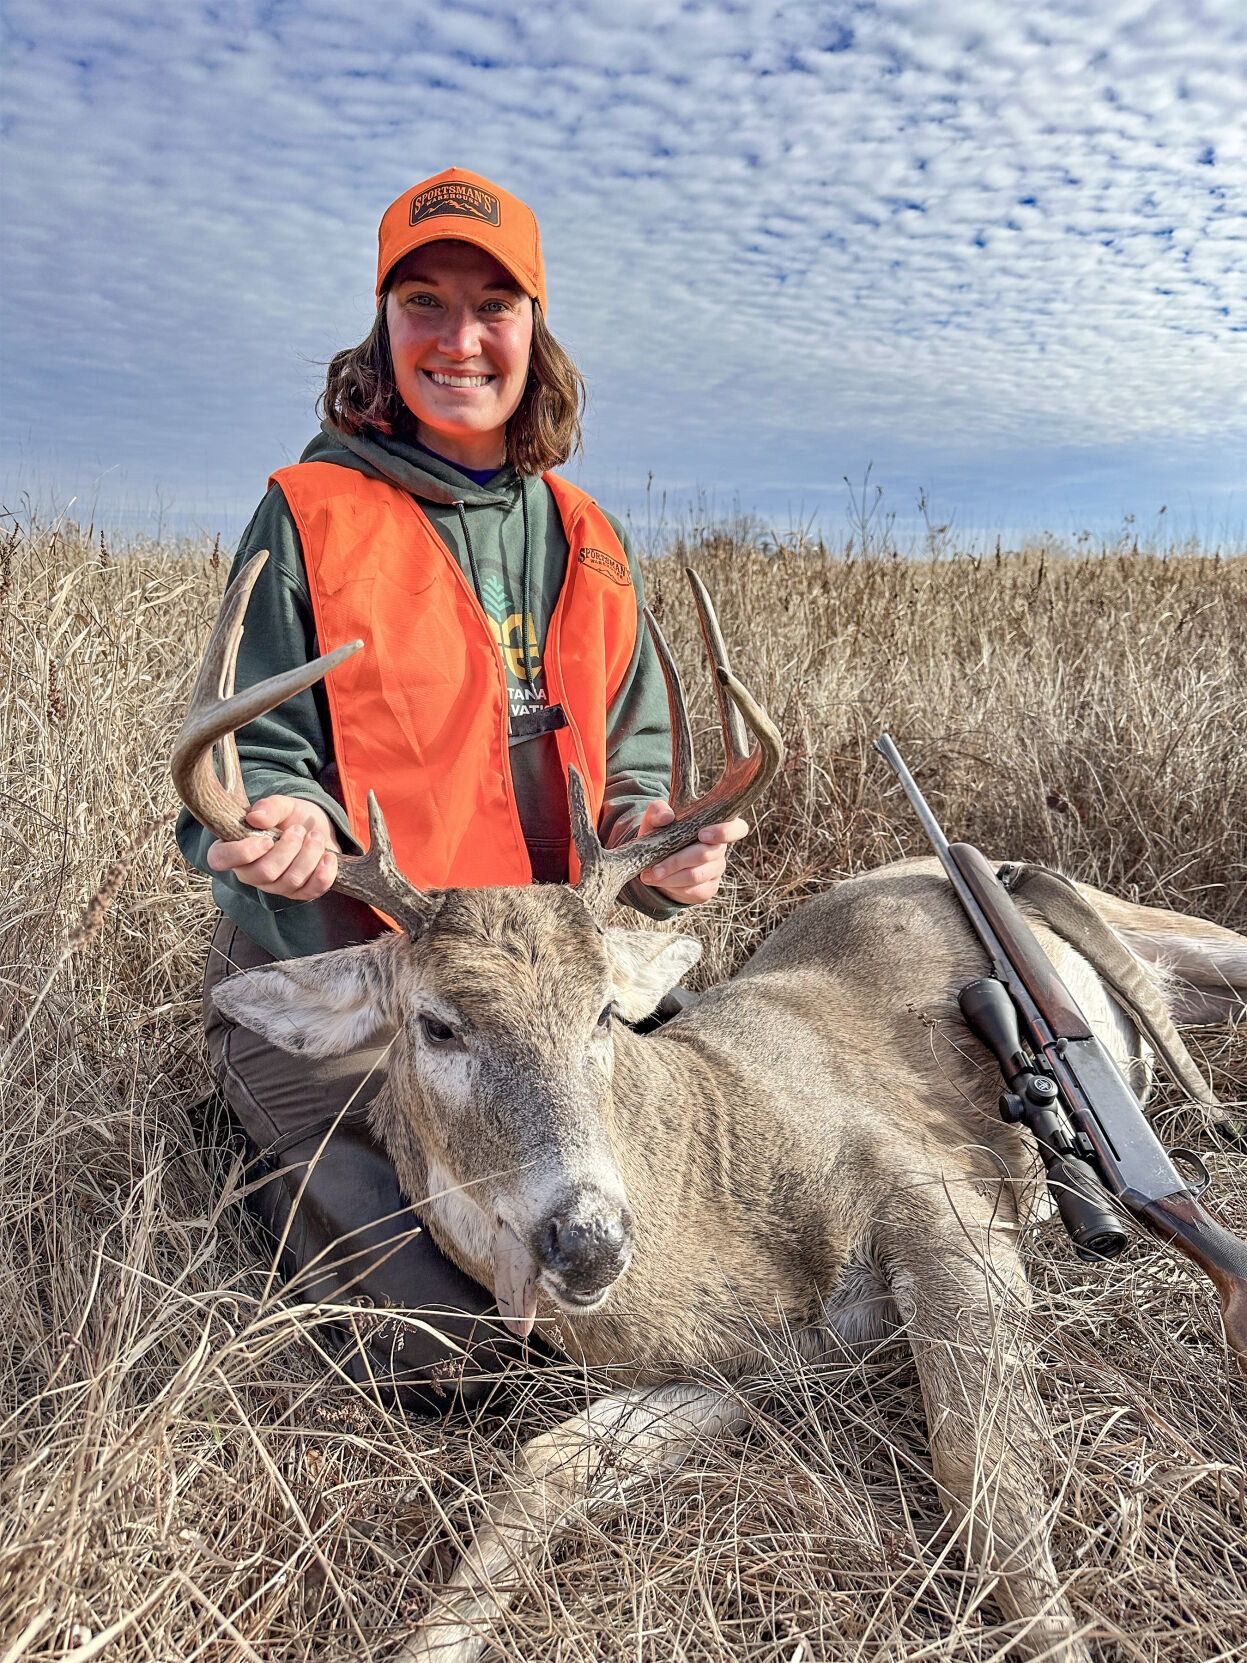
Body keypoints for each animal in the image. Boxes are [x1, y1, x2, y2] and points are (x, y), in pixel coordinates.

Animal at [174, 556, 1247, 1663]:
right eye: (435, 1024)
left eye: (605, 1009)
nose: (590, 1239)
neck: (716, 1207)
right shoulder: (747, 1370)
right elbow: (545, 1463)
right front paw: (436, 1638)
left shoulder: (943, 1199)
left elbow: (985, 1487)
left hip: (1160, 929)